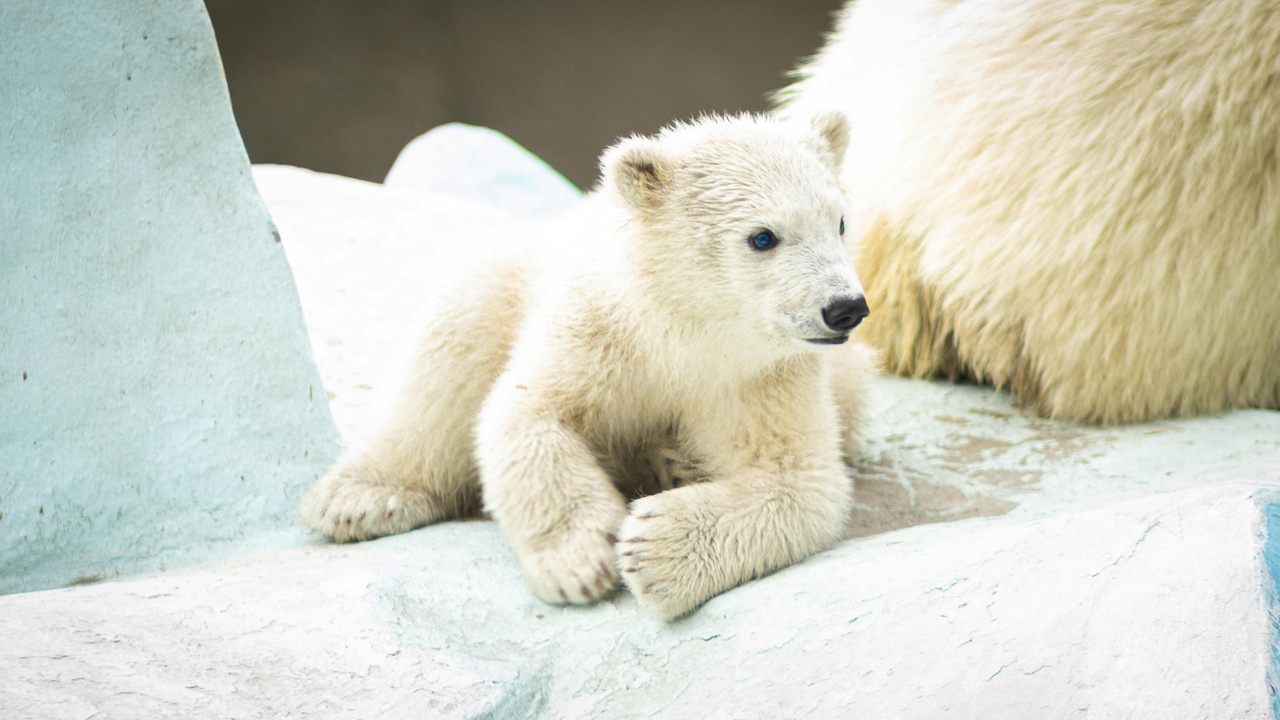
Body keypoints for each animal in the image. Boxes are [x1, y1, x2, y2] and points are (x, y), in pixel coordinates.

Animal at [298, 112, 878, 620]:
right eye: (762, 236)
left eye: (839, 222)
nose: (844, 307)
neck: (684, 330)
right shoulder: (598, 329)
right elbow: (527, 412)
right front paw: (580, 563)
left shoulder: (762, 377)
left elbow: (798, 481)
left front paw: (652, 550)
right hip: (504, 281)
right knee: (447, 358)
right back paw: (361, 497)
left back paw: (674, 463)